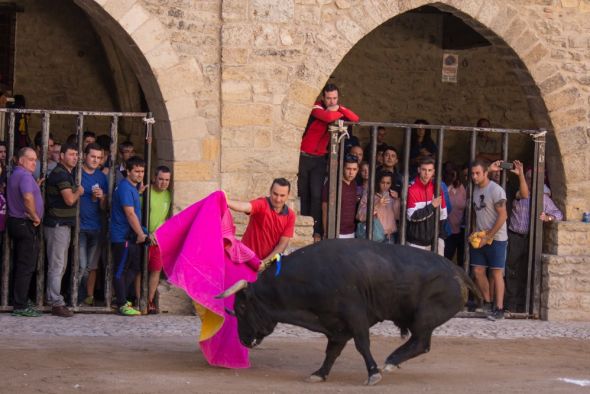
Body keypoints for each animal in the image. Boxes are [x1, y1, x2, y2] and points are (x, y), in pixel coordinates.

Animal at [217, 239, 480, 386]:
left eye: (242, 307)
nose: (243, 339)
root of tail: (457, 270)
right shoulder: (336, 326)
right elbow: (332, 352)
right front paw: (319, 374)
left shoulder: (355, 316)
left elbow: (362, 345)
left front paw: (373, 373)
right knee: (420, 343)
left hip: (425, 318)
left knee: (421, 343)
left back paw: (390, 362)